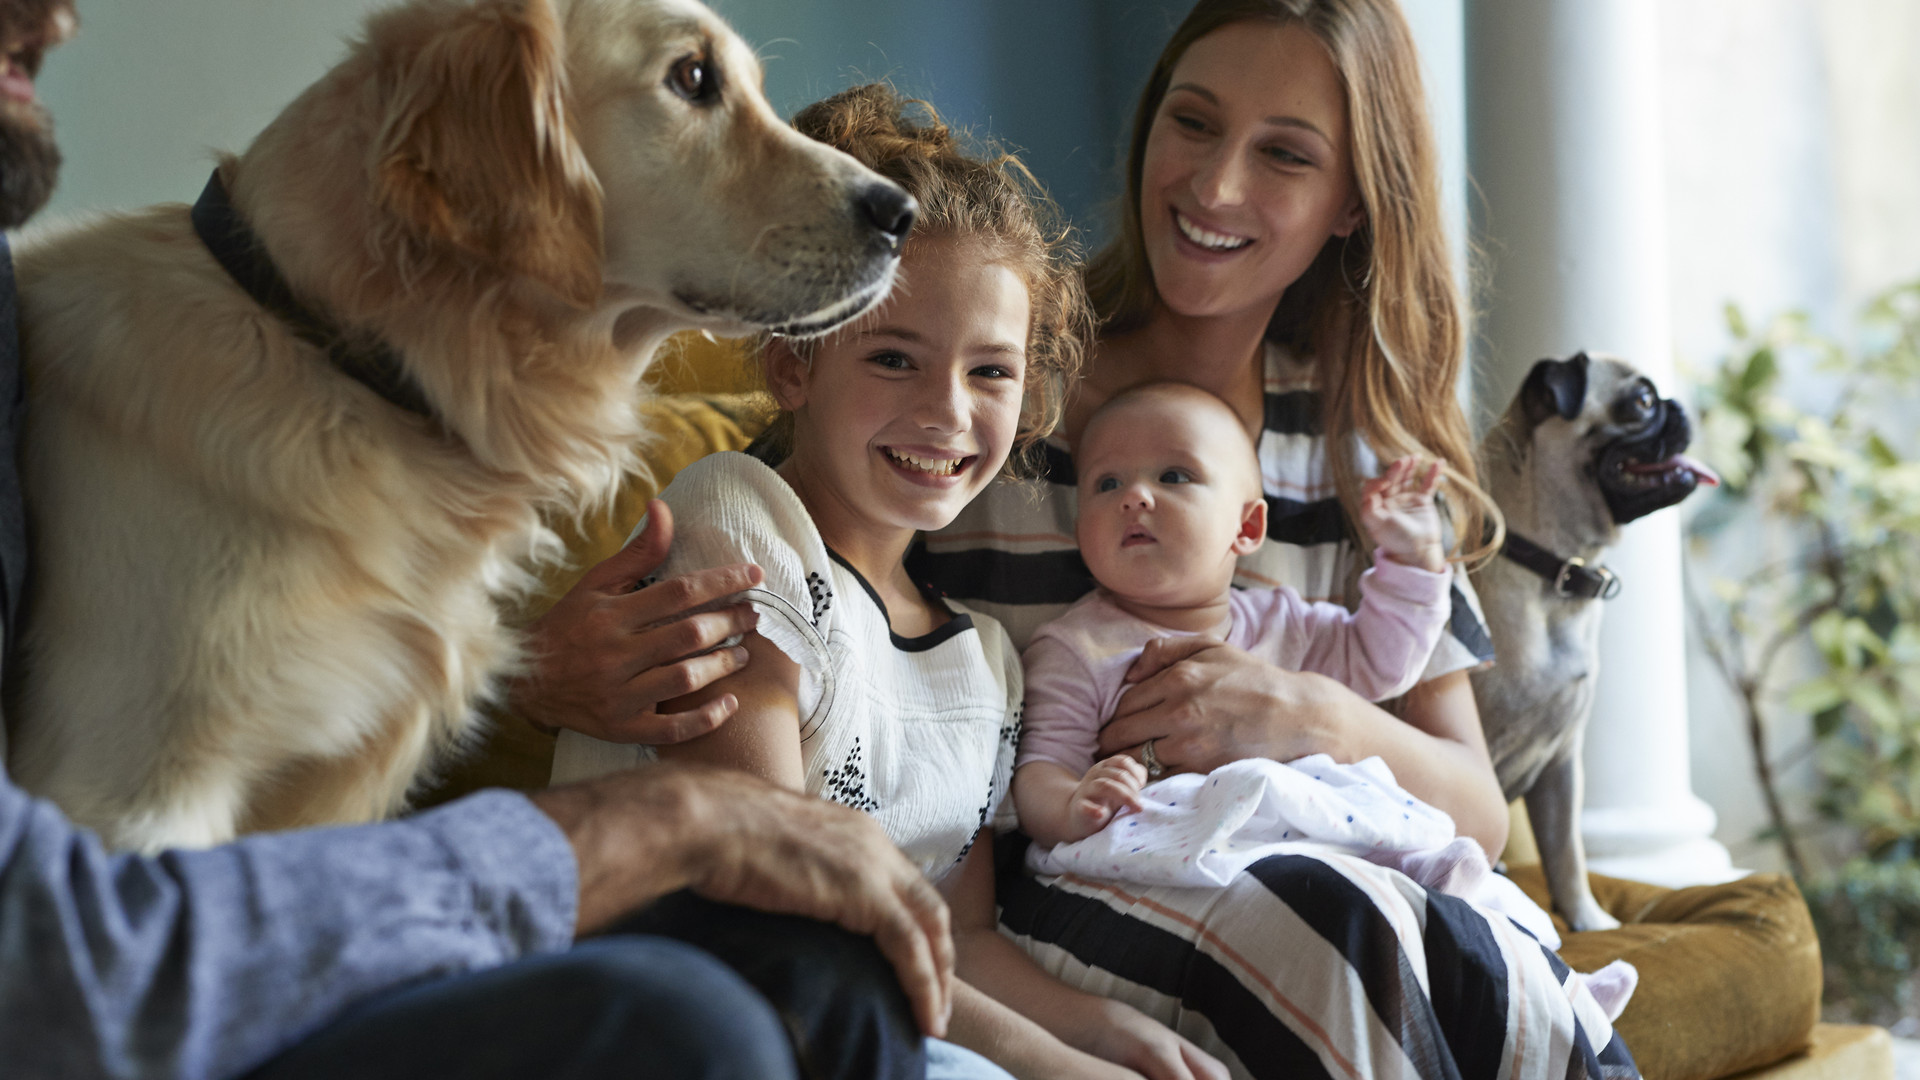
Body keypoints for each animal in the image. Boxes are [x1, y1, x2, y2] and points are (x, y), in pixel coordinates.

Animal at [1466, 353, 1728, 926]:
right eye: (1644, 402)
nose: (1677, 405)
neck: (1554, 573)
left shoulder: (1562, 764)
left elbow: (1566, 853)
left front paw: (1586, 919)